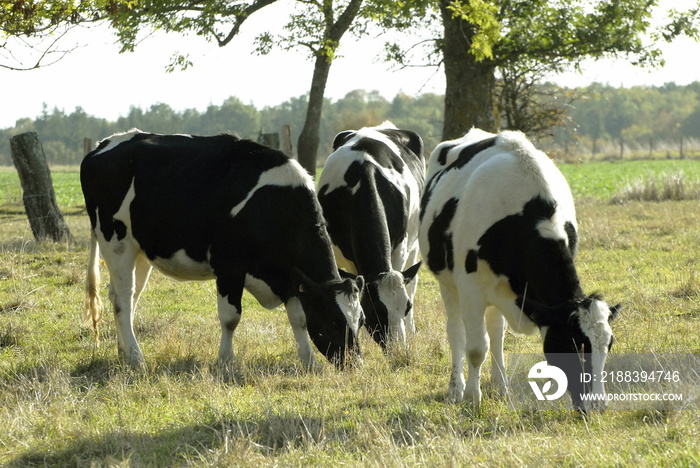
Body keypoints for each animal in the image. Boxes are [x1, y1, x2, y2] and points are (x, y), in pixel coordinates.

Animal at [80, 129, 366, 370]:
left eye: (361, 320)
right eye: (334, 320)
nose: (355, 364)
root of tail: (104, 145)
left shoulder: (289, 274)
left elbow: (299, 318)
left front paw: (309, 362)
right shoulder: (229, 265)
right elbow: (231, 318)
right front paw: (226, 361)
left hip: (140, 249)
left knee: (127, 297)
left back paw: (124, 352)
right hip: (116, 242)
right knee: (123, 300)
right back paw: (136, 358)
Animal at [318, 121, 426, 348]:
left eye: (407, 307)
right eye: (377, 311)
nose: (398, 349)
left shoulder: (400, 248)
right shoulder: (349, 255)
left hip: (414, 243)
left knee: (412, 280)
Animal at [418, 127, 620, 410]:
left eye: (609, 345)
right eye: (574, 345)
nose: (598, 405)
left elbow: (492, 339)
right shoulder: (471, 288)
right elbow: (476, 348)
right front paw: (472, 398)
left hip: (495, 291)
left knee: (496, 332)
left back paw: (500, 386)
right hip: (447, 282)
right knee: (456, 331)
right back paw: (456, 389)